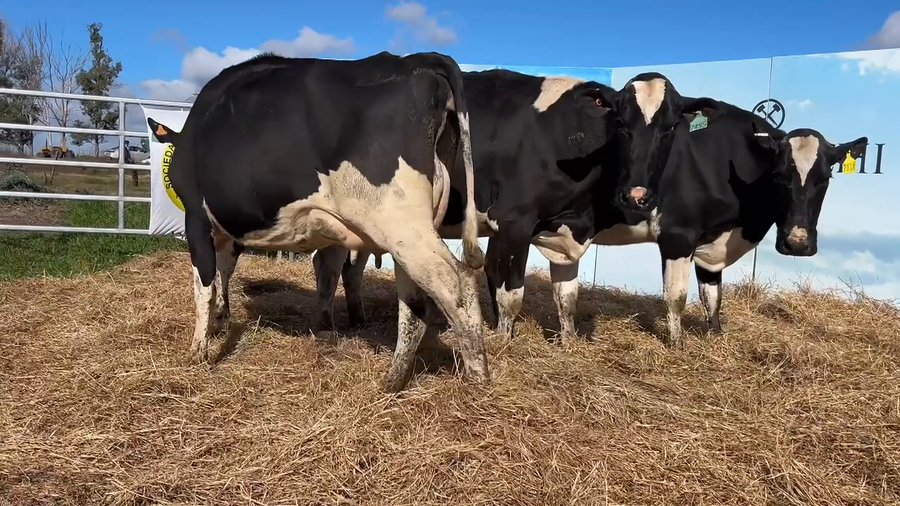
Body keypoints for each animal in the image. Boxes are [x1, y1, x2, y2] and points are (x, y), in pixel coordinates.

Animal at [144, 50, 490, 393]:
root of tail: (414, 60)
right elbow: (229, 272)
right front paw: (221, 321)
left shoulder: (196, 217)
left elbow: (203, 284)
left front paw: (198, 352)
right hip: (406, 231)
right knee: (414, 301)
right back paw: (393, 379)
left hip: (399, 223)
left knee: (456, 282)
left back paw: (478, 380)